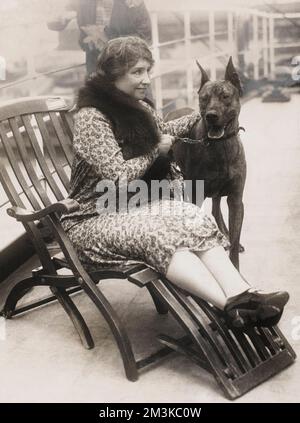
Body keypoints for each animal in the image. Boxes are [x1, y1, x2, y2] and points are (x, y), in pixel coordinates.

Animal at [171, 58, 246, 270]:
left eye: (225, 96)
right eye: (204, 98)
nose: (211, 115)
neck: (220, 146)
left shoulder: (236, 198)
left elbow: (236, 240)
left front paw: (235, 266)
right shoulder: (196, 194)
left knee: (215, 209)